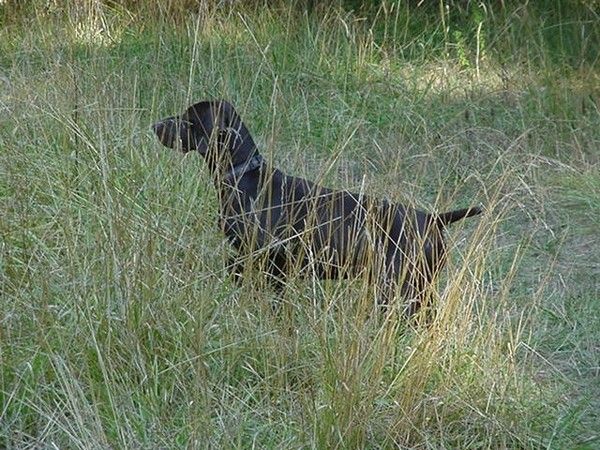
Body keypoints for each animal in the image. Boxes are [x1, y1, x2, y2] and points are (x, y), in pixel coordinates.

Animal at [152, 100, 481, 317]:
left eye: (188, 119)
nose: (155, 126)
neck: (244, 176)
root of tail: (434, 219)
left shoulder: (266, 261)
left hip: (401, 287)